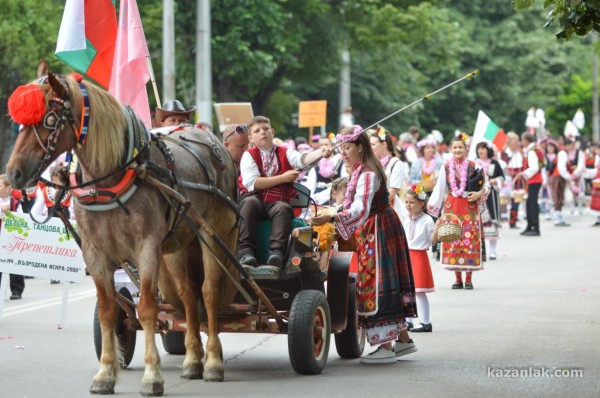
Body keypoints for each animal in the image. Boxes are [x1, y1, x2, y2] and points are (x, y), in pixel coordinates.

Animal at [5, 62, 239, 394]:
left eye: (50, 118)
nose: (13, 173)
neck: (112, 181)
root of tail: (212, 140)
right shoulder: (95, 254)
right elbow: (108, 310)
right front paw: (105, 373)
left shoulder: (147, 249)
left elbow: (147, 308)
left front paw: (152, 376)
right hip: (180, 243)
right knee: (188, 294)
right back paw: (193, 360)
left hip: (210, 234)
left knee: (208, 292)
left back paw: (214, 362)